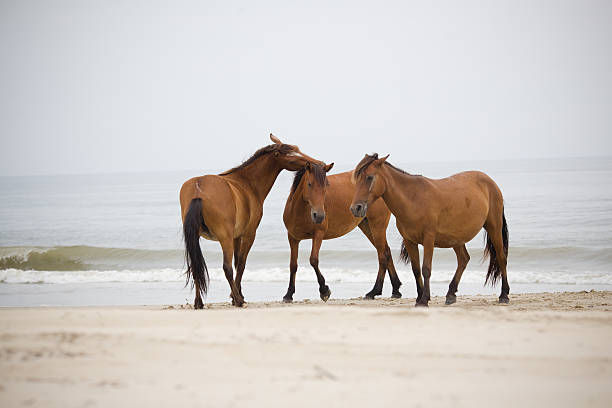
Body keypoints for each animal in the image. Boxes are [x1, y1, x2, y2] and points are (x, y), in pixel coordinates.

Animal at [179, 135, 326, 308]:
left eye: (297, 148)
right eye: (291, 155)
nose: (318, 163)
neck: (246, 183)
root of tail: (199, 188)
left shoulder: (236, 236)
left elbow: (237, 263)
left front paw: (237, 293)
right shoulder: (249, 234)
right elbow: (241, 264)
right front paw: (237, 296)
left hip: (198, 237)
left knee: (196, 266)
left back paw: (199, 302)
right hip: (224, 238)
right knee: (226, 268)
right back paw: (237, 300)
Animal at [350, 154, 506, 306]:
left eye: (369, 177)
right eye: (357, 179)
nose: (355, 208)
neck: (413, 199)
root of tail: (489, 181)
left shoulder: (428, 239)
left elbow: (426, 269)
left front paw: (424, 300)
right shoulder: (410, 241)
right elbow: (416, 270)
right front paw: (420, 297)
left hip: (494, 227)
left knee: (501, 257)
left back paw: (504, 295)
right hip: (456, 238)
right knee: (463, 259)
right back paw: (451, 294)